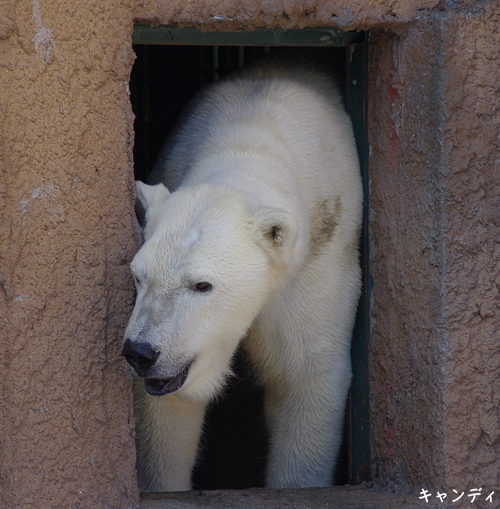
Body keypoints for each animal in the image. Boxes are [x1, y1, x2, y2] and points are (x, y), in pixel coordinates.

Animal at [121, 65, 364, 490]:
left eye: (202, 285)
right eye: (138, 277)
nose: (141, 351)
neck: (248, 142)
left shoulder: (317, 259)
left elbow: (306, 373)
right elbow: (166, 412)